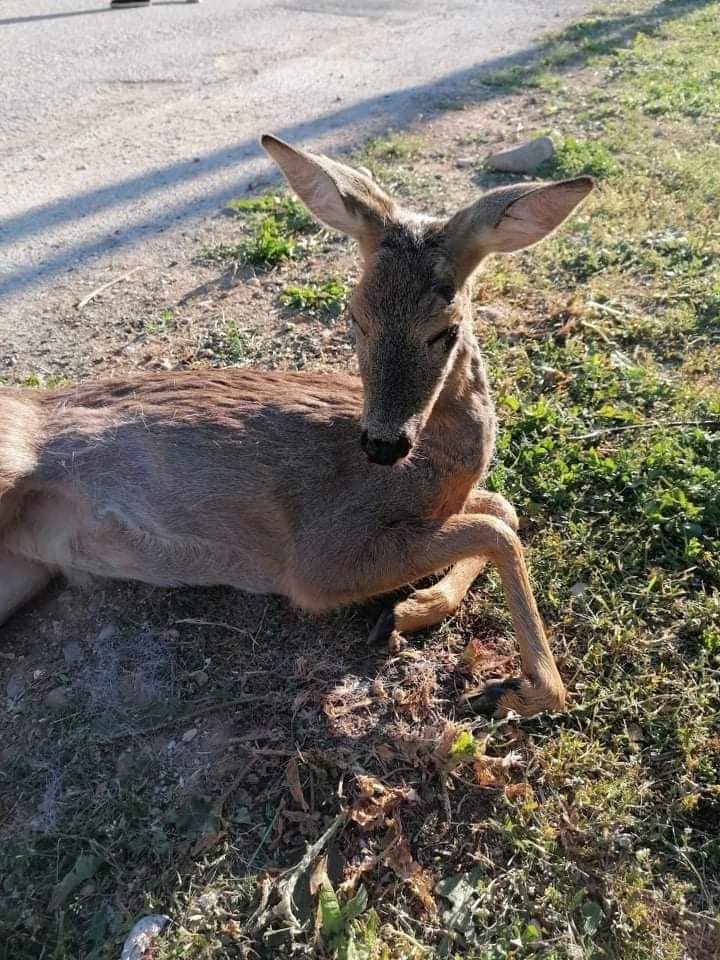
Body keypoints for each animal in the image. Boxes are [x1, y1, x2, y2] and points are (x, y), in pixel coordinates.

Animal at [0, 137, 592, 720]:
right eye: (354, 316)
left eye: (444, 330)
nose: (383, 444)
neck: (433, 465)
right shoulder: (319, 557)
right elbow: (498, 531)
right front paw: (523, 691)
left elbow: (503, 510)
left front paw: (411, 610)